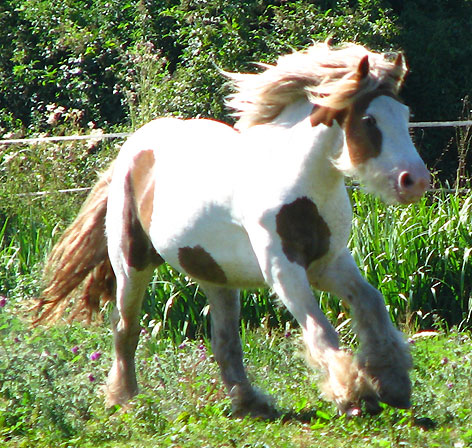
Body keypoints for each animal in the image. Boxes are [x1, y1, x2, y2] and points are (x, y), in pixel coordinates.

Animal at [35, 42, 430, 416]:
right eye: (369, 120)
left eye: (406, 115)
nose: (415, 181)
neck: (296, 180)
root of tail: (134, 146)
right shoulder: (283, 270)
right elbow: (320, 329)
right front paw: (354, 394)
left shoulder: (328, 263)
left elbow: (371, 303)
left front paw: (392, 382)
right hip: (131, 262)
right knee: (125, 328)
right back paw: (124, 399)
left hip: (216, 275)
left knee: (224, 340)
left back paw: (249, 402)